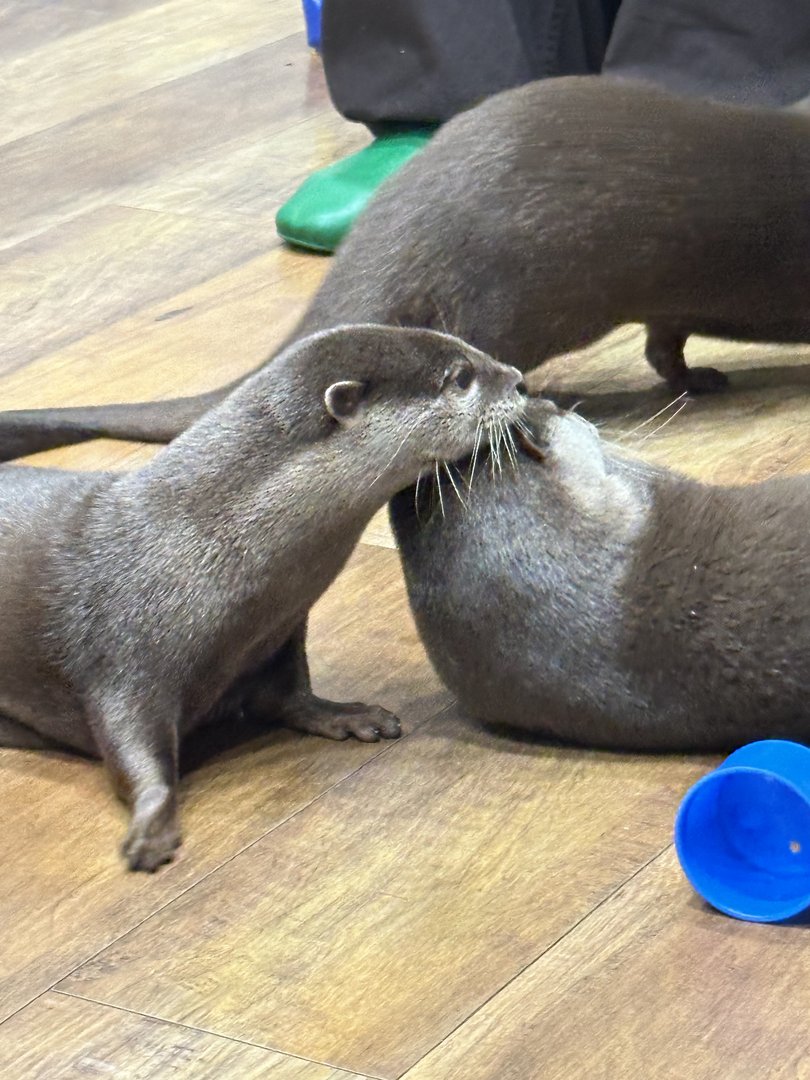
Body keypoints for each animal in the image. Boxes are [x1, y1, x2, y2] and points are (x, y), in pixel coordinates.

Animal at [0, 321, 527, 868]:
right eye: (461, 376)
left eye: (470, 351)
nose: (519, 380)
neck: (196, 539)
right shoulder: (122, 653)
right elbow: (131, 746)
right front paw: (152, 828)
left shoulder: (280, 632)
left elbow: (288, 693)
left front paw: (347, 715)